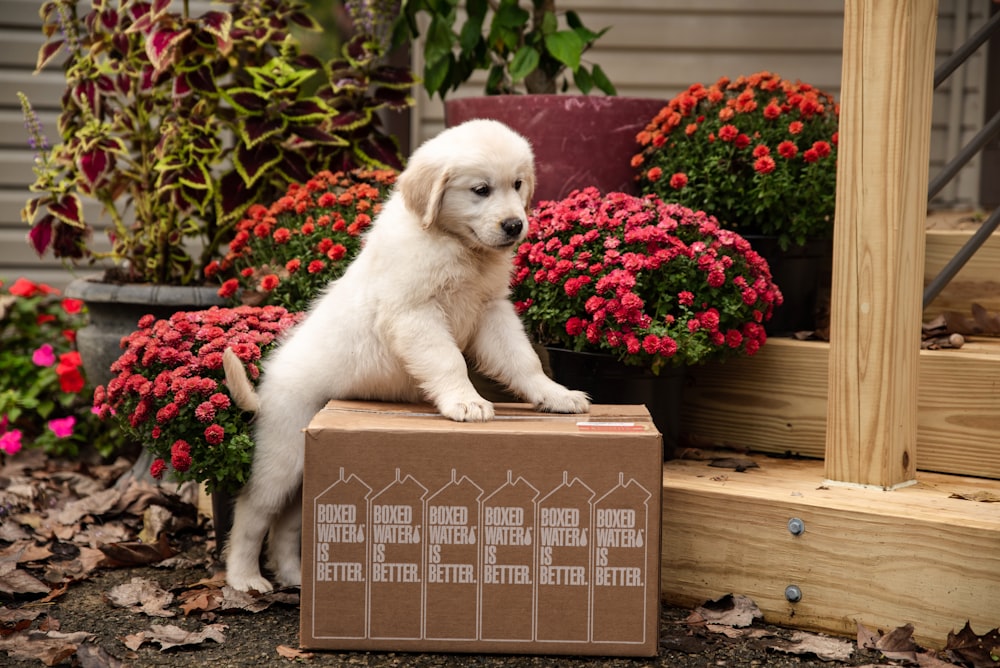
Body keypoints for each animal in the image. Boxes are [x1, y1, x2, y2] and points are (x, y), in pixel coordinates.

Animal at [223, 118, 588, 588]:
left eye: (517, 184)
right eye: (481, 189)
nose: (514, 225)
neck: (456, 244)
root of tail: (266, 387)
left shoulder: (491, 310)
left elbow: (522, 359)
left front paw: (555, 395)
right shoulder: (415, 314)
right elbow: (449, 360)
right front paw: (466, 402)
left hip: (304, 464)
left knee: (288, 521)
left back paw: (294, 575)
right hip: (282, 450)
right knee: (253, 510)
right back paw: (244, 578)